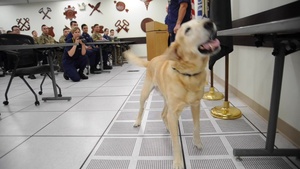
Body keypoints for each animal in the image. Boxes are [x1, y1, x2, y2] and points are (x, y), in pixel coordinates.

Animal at [124, 18, 220, 169]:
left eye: (201, 19)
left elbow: (196, 126)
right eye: (187, 30)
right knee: (142, 108)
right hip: (145, 93)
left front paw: (197, 143)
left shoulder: (195, 105)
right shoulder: (174, 112)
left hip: (168, 102)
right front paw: (178, 162)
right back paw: (138, 121)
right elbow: (176, 143)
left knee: (163, 114)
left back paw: (168, 126)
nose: (209, 23)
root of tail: (150, 61)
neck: (188, 75)